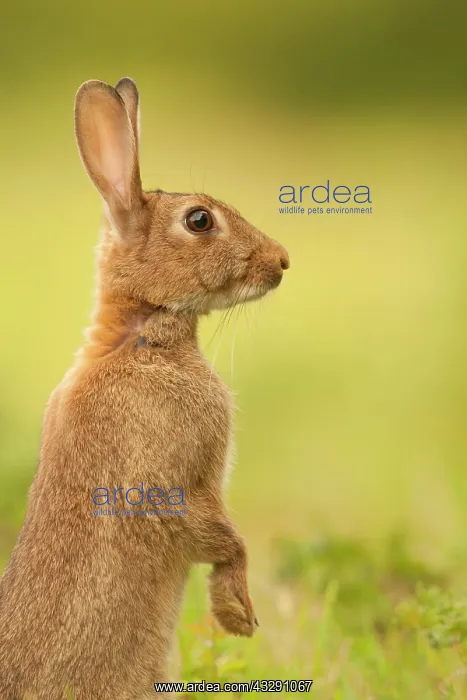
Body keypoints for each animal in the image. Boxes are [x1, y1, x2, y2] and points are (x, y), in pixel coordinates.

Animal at [0, 77, 289, 700]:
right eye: (199, 220)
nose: (282, 260)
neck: (139, 334)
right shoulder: (177, 479)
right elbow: (222, 538)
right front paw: (238, 615)